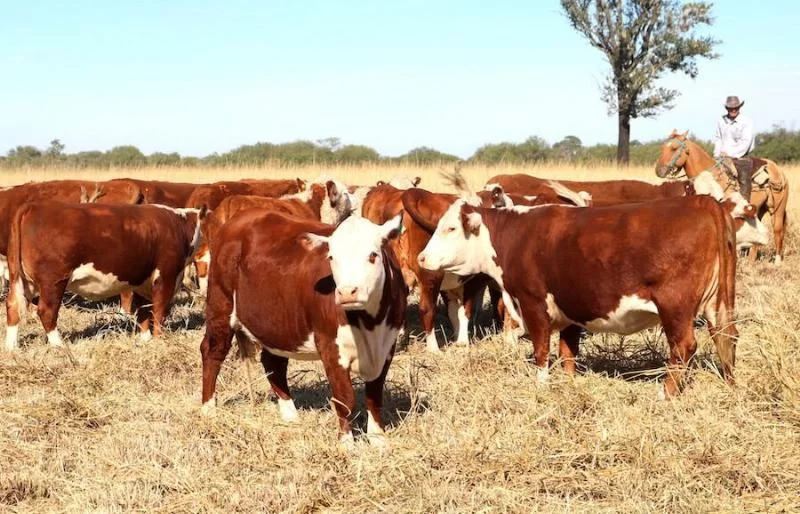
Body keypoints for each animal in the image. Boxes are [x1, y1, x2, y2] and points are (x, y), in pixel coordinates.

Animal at [5, 200, 206, 348]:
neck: (178, 226)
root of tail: (34, 206)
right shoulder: (166, 277)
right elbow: (159, 311)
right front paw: (158, 340)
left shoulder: (142, 281)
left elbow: (143, 312)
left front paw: (145, 339)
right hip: (53, 280)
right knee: (47, 311)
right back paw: (59, 345)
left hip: (21, 279)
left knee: (13, 306)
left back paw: (11, 347)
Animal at [200, 210, 406, 446]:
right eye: (332, 258)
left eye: (373, 255)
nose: (346, 292)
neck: (369, 324)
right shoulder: (329, 345)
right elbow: (344, 398)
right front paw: (346, 444)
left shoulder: (387, 347)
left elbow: (374, 395)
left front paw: (378, 439)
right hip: (219, 304)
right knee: (212, 352)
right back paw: (208, 410)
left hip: (276, 325)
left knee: (273, 363)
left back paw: (290, 416)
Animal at [418, 194, 736, 398]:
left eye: (450, 228)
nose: (421, 258)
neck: (514, 237)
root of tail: (702, 200)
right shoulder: (569, 306)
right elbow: (567, 351)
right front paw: (569, 383)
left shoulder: (533, 303)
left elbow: (542, 350)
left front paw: (542, 386)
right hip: (719, 303)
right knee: (726, 337)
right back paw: (729, 382)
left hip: (675, 306)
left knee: (683, 346)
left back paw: (666, 393)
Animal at [652, 128, 792, 264]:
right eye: (663, 147)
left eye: (674, 148)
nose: (659, 170)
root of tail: (778, 170)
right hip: (759, 209)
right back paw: (751, 262)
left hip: (778, 208)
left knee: (778, 230)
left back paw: (777, 262)